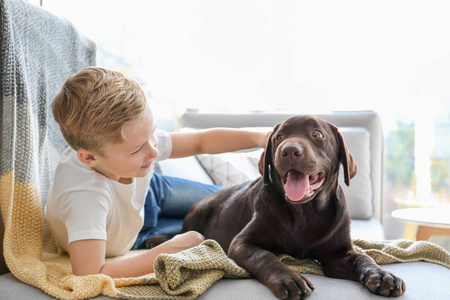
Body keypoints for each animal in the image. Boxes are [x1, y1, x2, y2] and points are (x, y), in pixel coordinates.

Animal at [181, 114, 406, 298]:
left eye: (317, 134)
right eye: (279, 137)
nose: (289, 150)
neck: (304, 211)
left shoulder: (338, 255)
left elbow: (363, 257)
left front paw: (383, 275)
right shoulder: (241, 243)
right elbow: (264, 256)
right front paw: (288, 277)